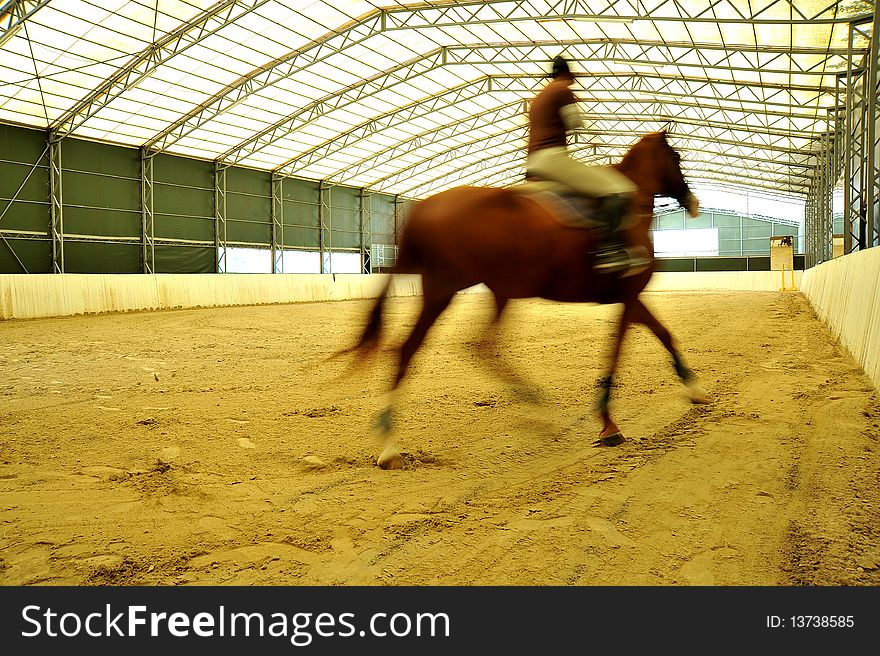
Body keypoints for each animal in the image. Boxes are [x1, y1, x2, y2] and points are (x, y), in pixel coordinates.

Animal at [338, 129, 708, 466]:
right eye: (676, 158)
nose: (693, 204)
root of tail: (426, 204)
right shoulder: (629, 296)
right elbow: (616, 352)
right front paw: (608, 425)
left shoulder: (630, 298)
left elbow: (663, 333)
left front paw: (695, 390)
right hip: (452, 287)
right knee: (435, 348)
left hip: (480, 290)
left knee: (450, 347)